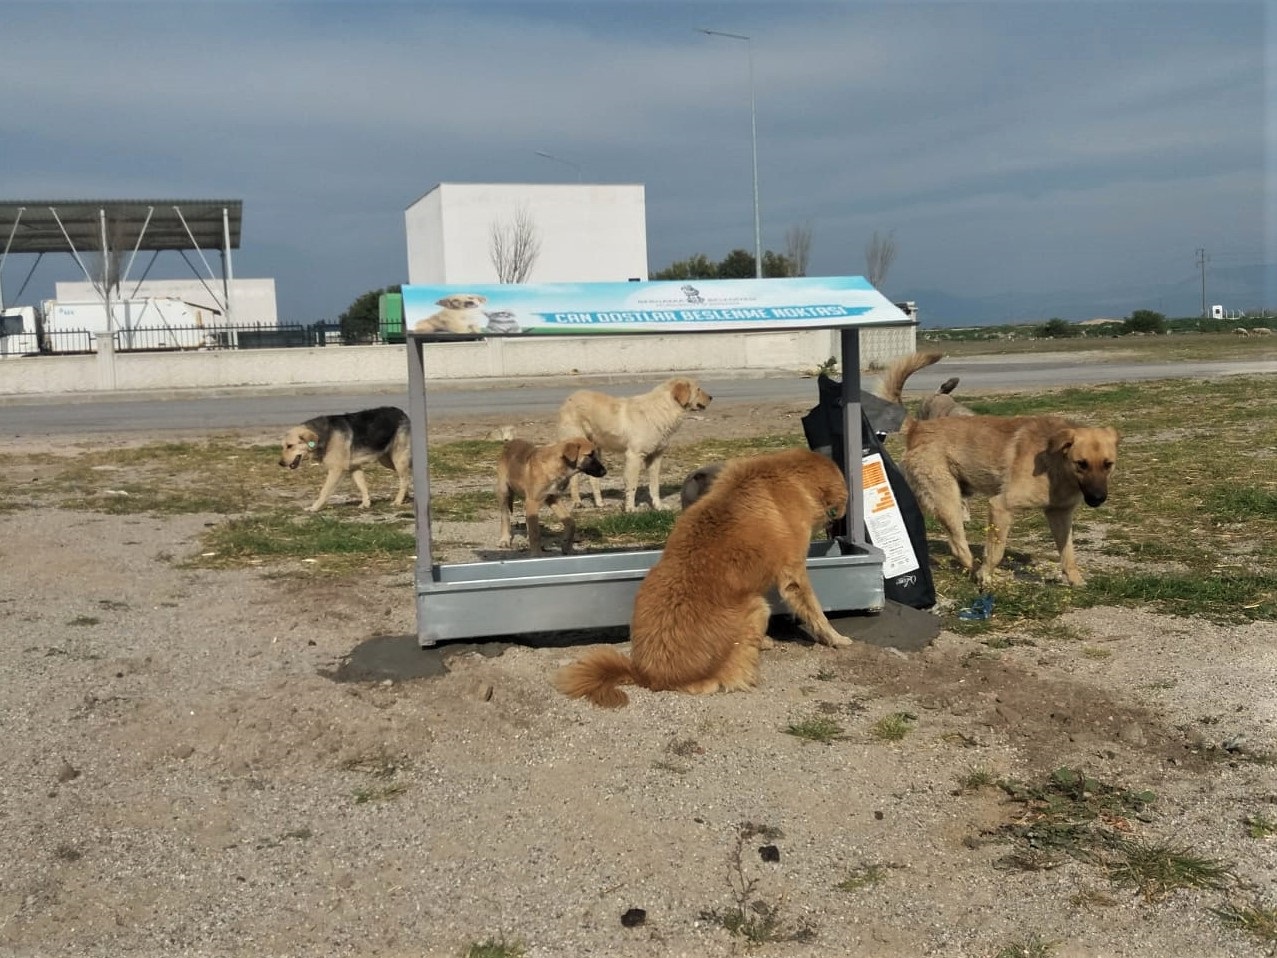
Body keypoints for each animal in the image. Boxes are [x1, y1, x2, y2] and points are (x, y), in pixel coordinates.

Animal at [277, 406, 411, 513]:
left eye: (290, 446)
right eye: (283, 446)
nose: (281, 463)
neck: (325, 435)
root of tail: (401, 412)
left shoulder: (336, 470)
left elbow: (324, 491)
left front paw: (314, 508)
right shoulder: (354, 467)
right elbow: (362, 486)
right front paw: (366, 504)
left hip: (398, 459)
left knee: (404, 479)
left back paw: (398, 501)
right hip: (387, 461)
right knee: (406, 477)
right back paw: (406, 497)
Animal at [554, 447, 853, 710]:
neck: (783, 474)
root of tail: (647, 675)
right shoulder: (794, 574)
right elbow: (816, 612)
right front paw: (836, 638)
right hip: (757, 607)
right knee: (726, 676)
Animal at [559, 378, 715, 513]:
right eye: (698, 389)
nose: (711, 397)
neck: (663, 408)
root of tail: (571, 397)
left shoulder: (656, 456)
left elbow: (655, 486)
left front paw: (658, 506)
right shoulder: (634, 456)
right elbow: (632, 485)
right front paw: (630, 509)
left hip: (595, 451)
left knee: (593, 479)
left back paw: (599, 503)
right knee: (574, 478)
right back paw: (577, 502)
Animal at [899, 418, 1118, 590]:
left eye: (1108, 464)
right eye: (1081, 464)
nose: (1098, 498)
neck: (1055, 463)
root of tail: (917, 426)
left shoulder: (1060, 514)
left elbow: (1068, 553)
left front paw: (1075, 580)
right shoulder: (1000, 506)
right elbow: (996, 552)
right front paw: (985, 576)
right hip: (949, 502)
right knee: (958, 546)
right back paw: (979, 573)